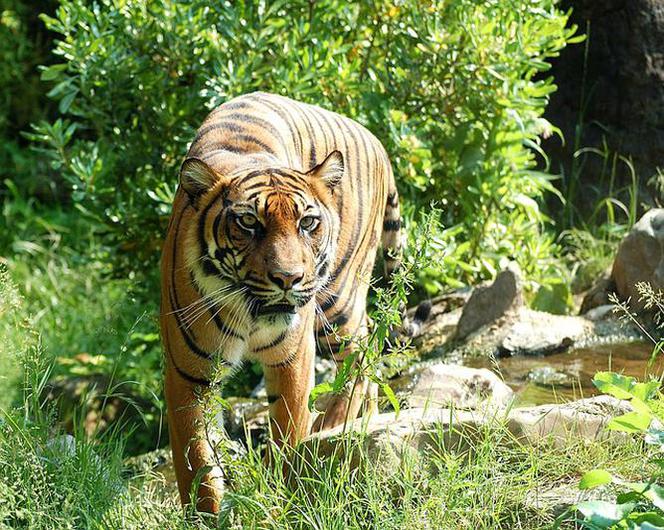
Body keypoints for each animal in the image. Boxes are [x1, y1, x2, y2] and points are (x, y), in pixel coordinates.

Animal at [160, 92, 400, 512]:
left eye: (307, 223)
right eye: (248, 223)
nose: (288, 278)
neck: (249, 314)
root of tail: (374, 138)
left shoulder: (292, 359)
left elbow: (288, 433)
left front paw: (282, 498)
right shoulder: (188, 375)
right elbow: (196, 463)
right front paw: (206, 514)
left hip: (337, 299)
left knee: (360, 351)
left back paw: (335, 425)